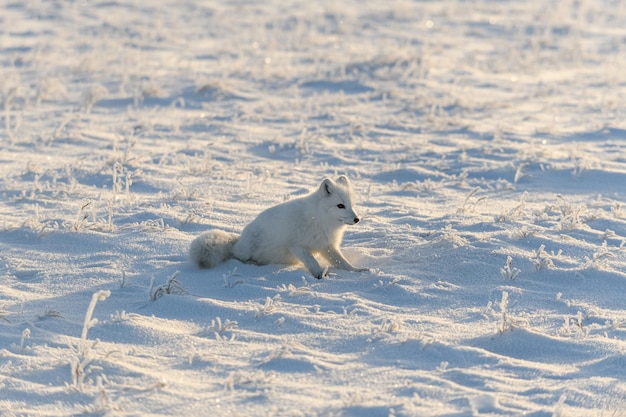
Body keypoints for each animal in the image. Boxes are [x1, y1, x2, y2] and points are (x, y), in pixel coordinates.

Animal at [189, 176, 366, 280]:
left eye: (352, 205)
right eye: (340, 205)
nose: (357, 219)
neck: (320, 220)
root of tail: (238, 240)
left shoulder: (327, 246)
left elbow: (342, 262)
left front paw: (357, 271)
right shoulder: (297, 246)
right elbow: (312, 262)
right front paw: (319, 275)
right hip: (247, 250)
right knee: (236, 257)